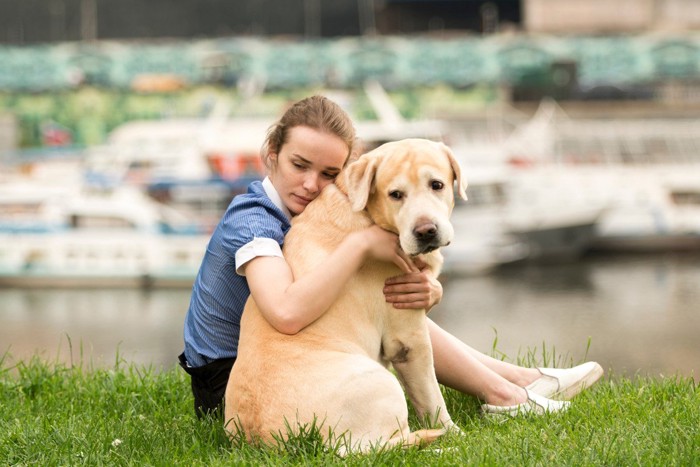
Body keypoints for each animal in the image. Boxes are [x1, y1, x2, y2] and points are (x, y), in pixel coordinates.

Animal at [224, 138, 464, 454]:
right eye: (396, 195)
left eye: (437, 185)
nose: (426, 231)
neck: (362, 207)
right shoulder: (409, 339)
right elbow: (433, 399)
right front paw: (456, 434)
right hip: (381, 384)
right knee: (382, 448)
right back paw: (440, 447)